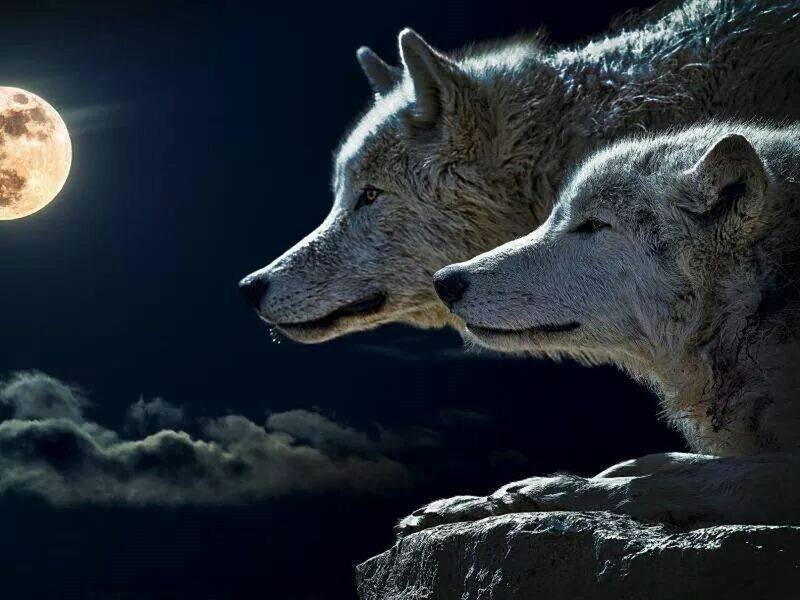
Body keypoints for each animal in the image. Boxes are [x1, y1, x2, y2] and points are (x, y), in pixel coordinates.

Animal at [397, 123, 800, 536]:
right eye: (556, 217)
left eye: (593, 225)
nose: (444, 281)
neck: (758, 304)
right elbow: (665, 462)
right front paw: (468, 503)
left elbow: (661, 483)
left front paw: (534, 494)